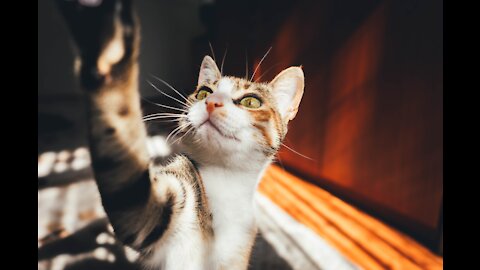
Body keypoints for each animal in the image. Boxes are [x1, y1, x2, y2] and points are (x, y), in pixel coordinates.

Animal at [56, 0, 304, 270]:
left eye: (251, 101)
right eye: (204, 92)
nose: (212, 103)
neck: (225, 180)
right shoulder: (158, 209)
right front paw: (111, 47)